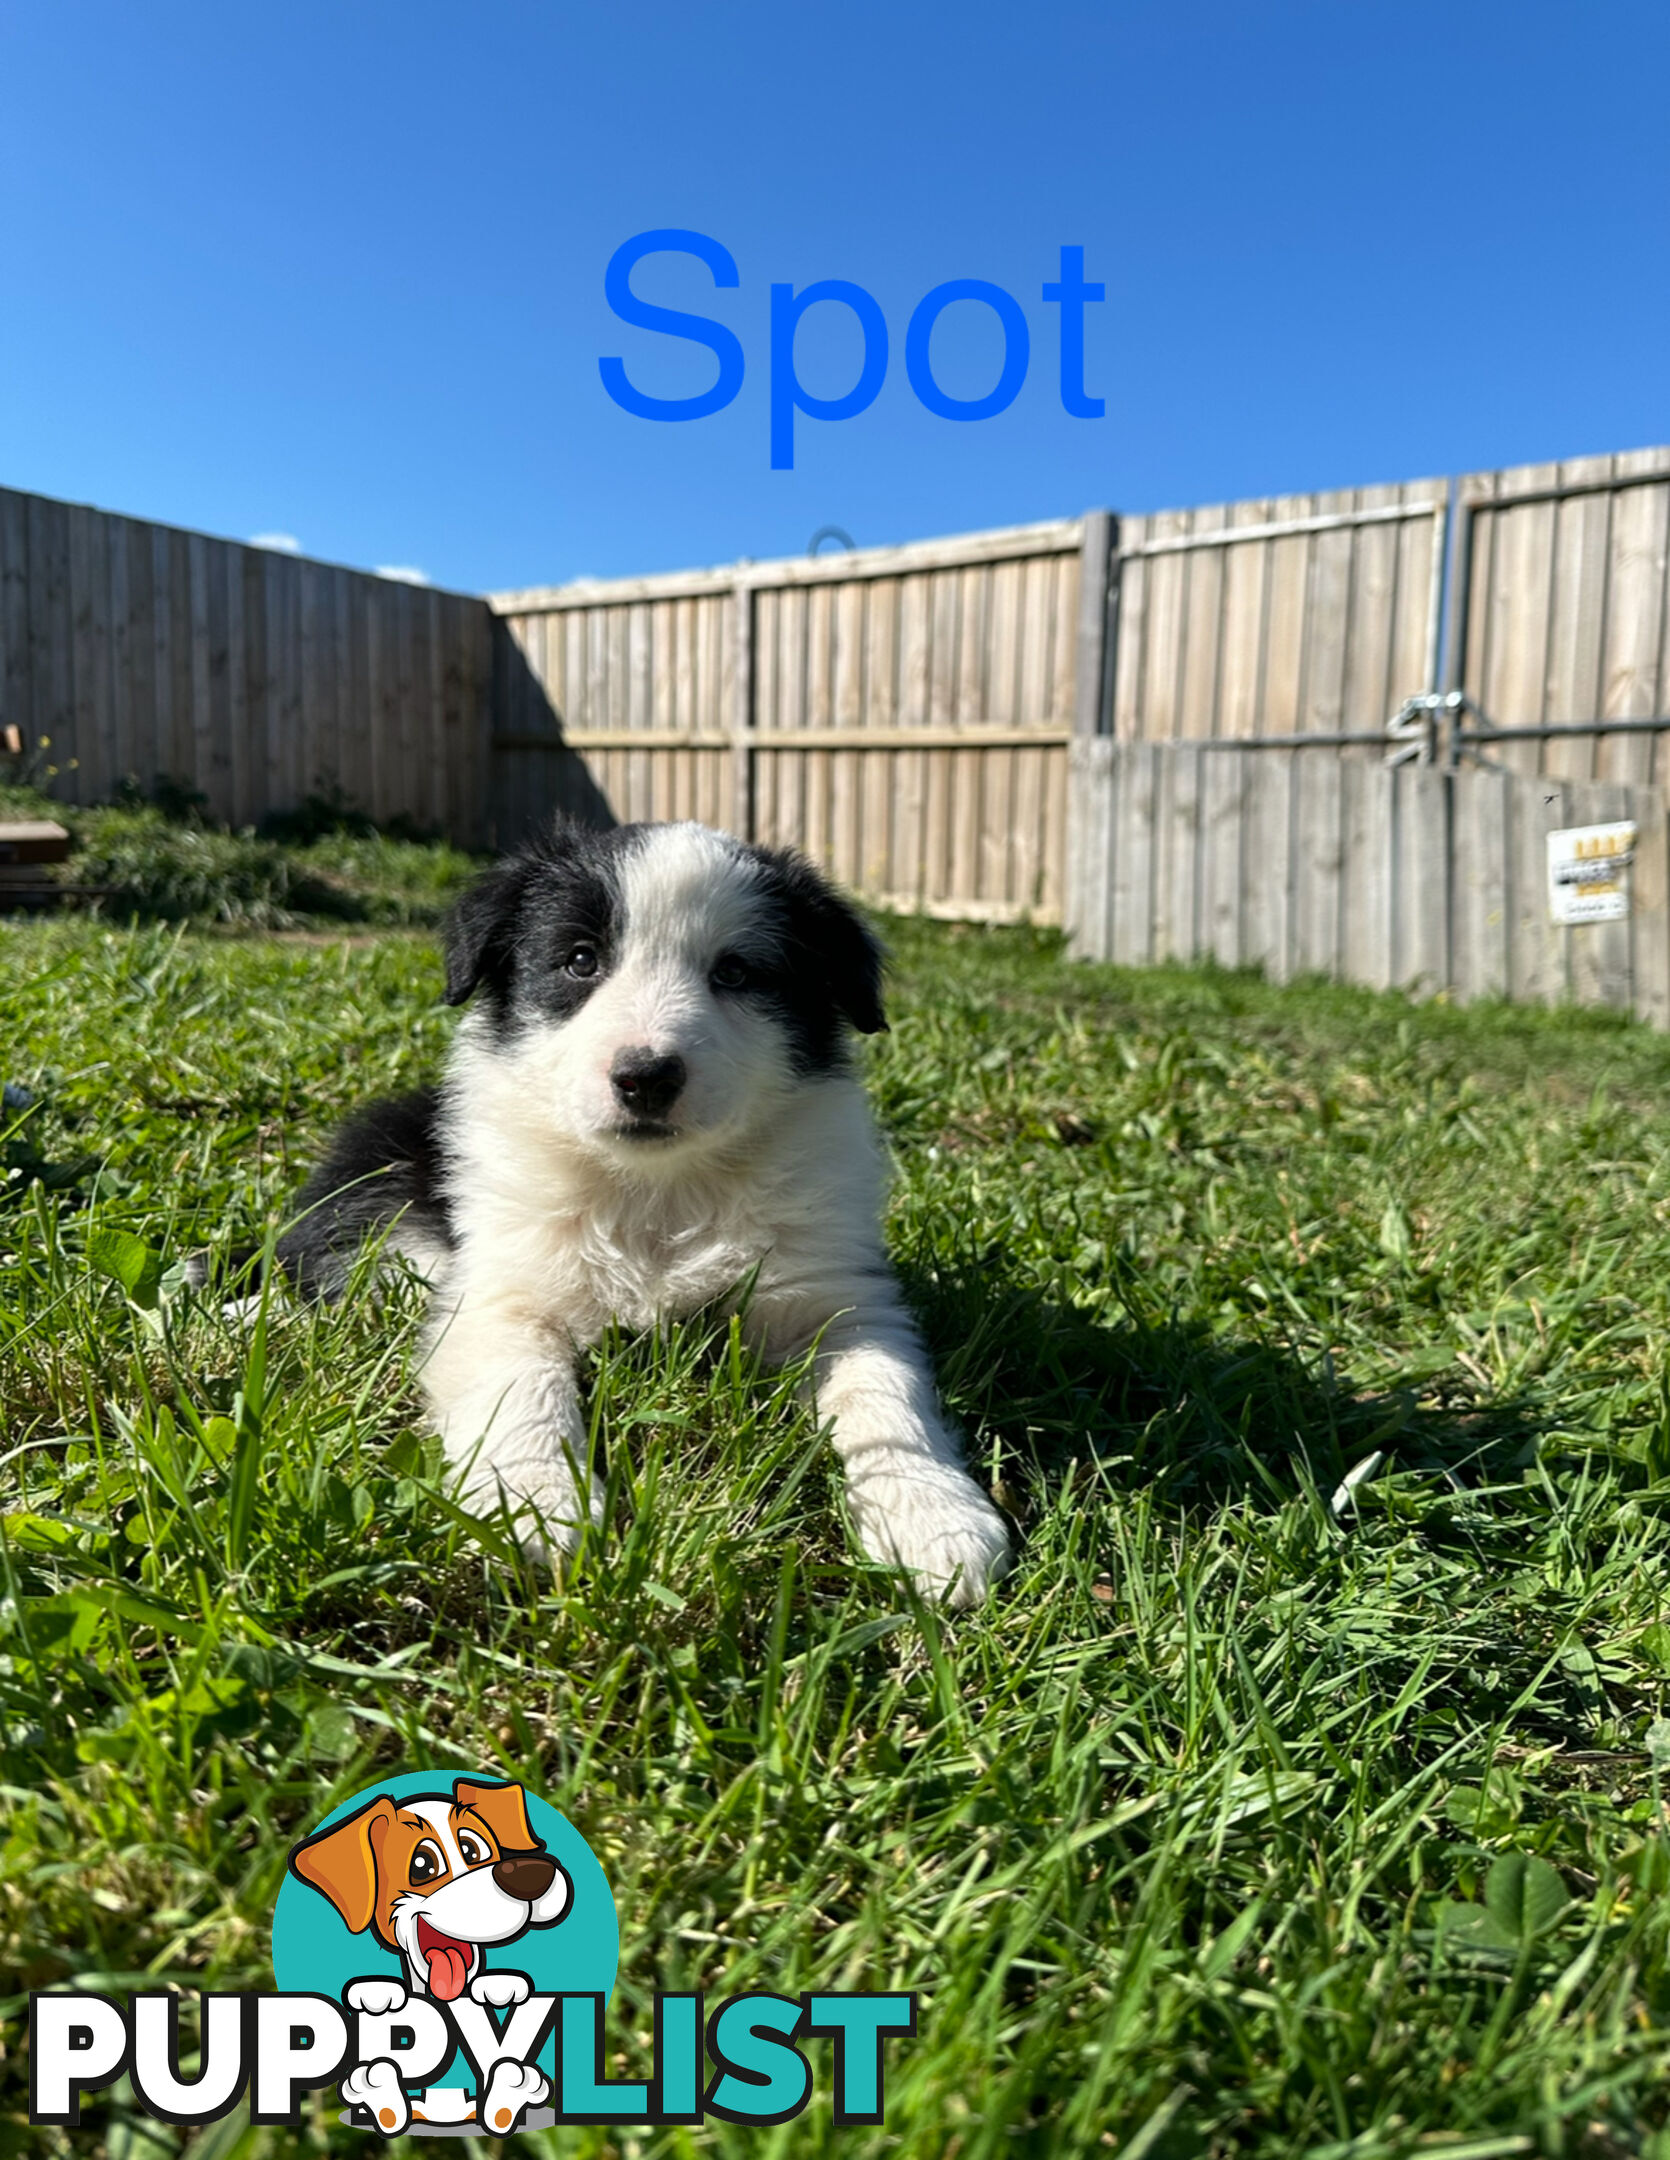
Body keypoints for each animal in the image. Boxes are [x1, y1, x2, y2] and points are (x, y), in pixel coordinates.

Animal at [276, 816, 1002, 1615]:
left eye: (737, 973)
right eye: (580, 960)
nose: (645, 1076)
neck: (660, 1189)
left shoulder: (835, 1296)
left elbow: (886, 1396)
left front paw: (934, 1518)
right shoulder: (503, 1292)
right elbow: (520, 1388)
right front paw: (533, 1507)